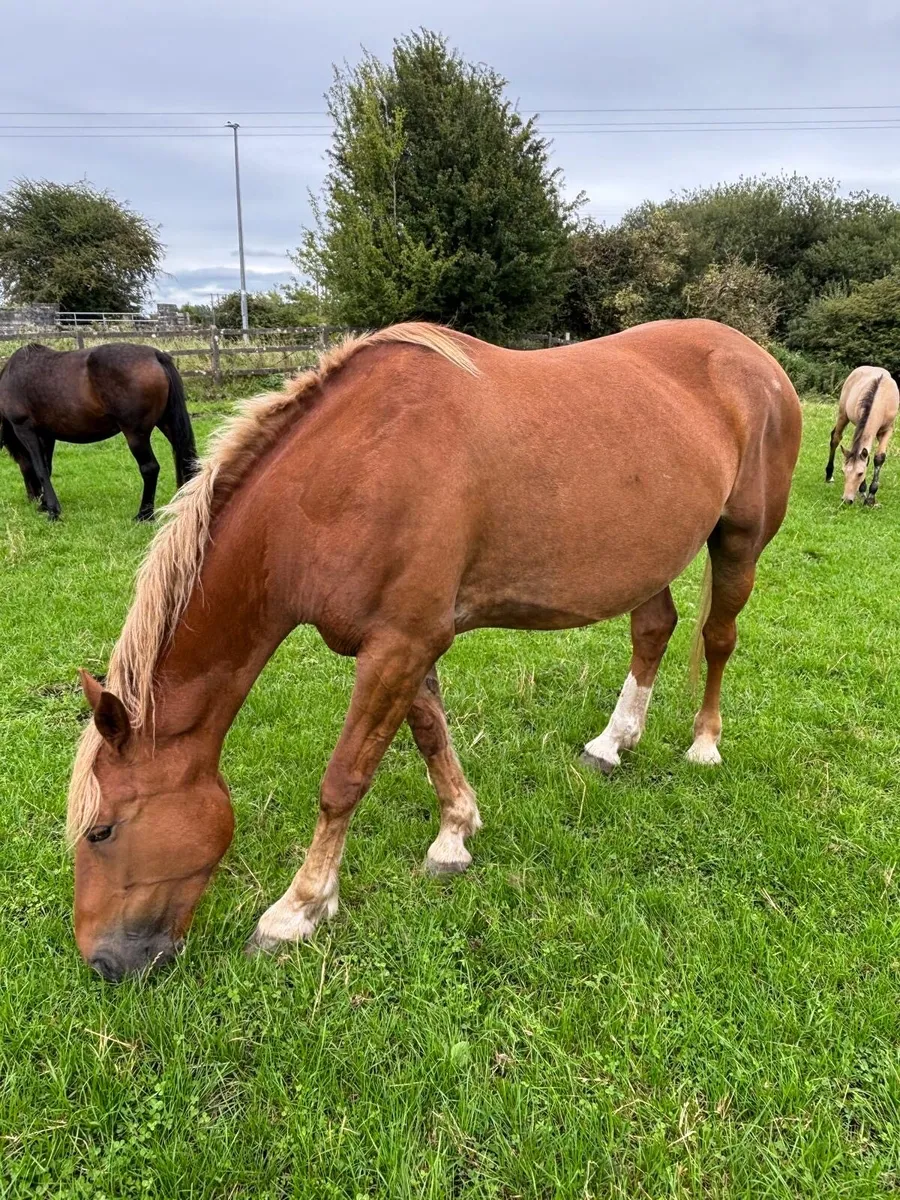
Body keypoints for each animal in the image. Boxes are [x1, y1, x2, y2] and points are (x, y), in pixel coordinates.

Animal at [0, 342, 198, 520]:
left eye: (20, 463)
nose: (32, 498)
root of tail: (155, 355)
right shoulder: (47, 435)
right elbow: (47, 468)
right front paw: (46, 505)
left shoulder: (25, 430)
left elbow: (40, 469)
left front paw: (53, 511)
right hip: (168, 424)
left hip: (136, 434)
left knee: (150, 468)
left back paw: (144, 514)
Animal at [66, 318, 801, 981]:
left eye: (101, 830)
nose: (103, 963)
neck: (344, 477)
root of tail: (755, 357)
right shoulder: (404, 645)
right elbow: (429, 735)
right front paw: (456, 833)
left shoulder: (400, 644)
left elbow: (344, 779)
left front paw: (298, 909)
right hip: (648, 558)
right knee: (654, 629)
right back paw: (612, 742)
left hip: (739, 541)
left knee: (718, 638)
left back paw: (704, 743)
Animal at [825, 365, 898, 505]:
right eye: (843, 471)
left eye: (860, 473)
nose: (846, 500)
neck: (881, 398)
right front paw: (864, 491)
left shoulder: (887, 430)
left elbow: (879, 458)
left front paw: (871, 497)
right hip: (843, 414)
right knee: (836, 438)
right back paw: (829, 476)